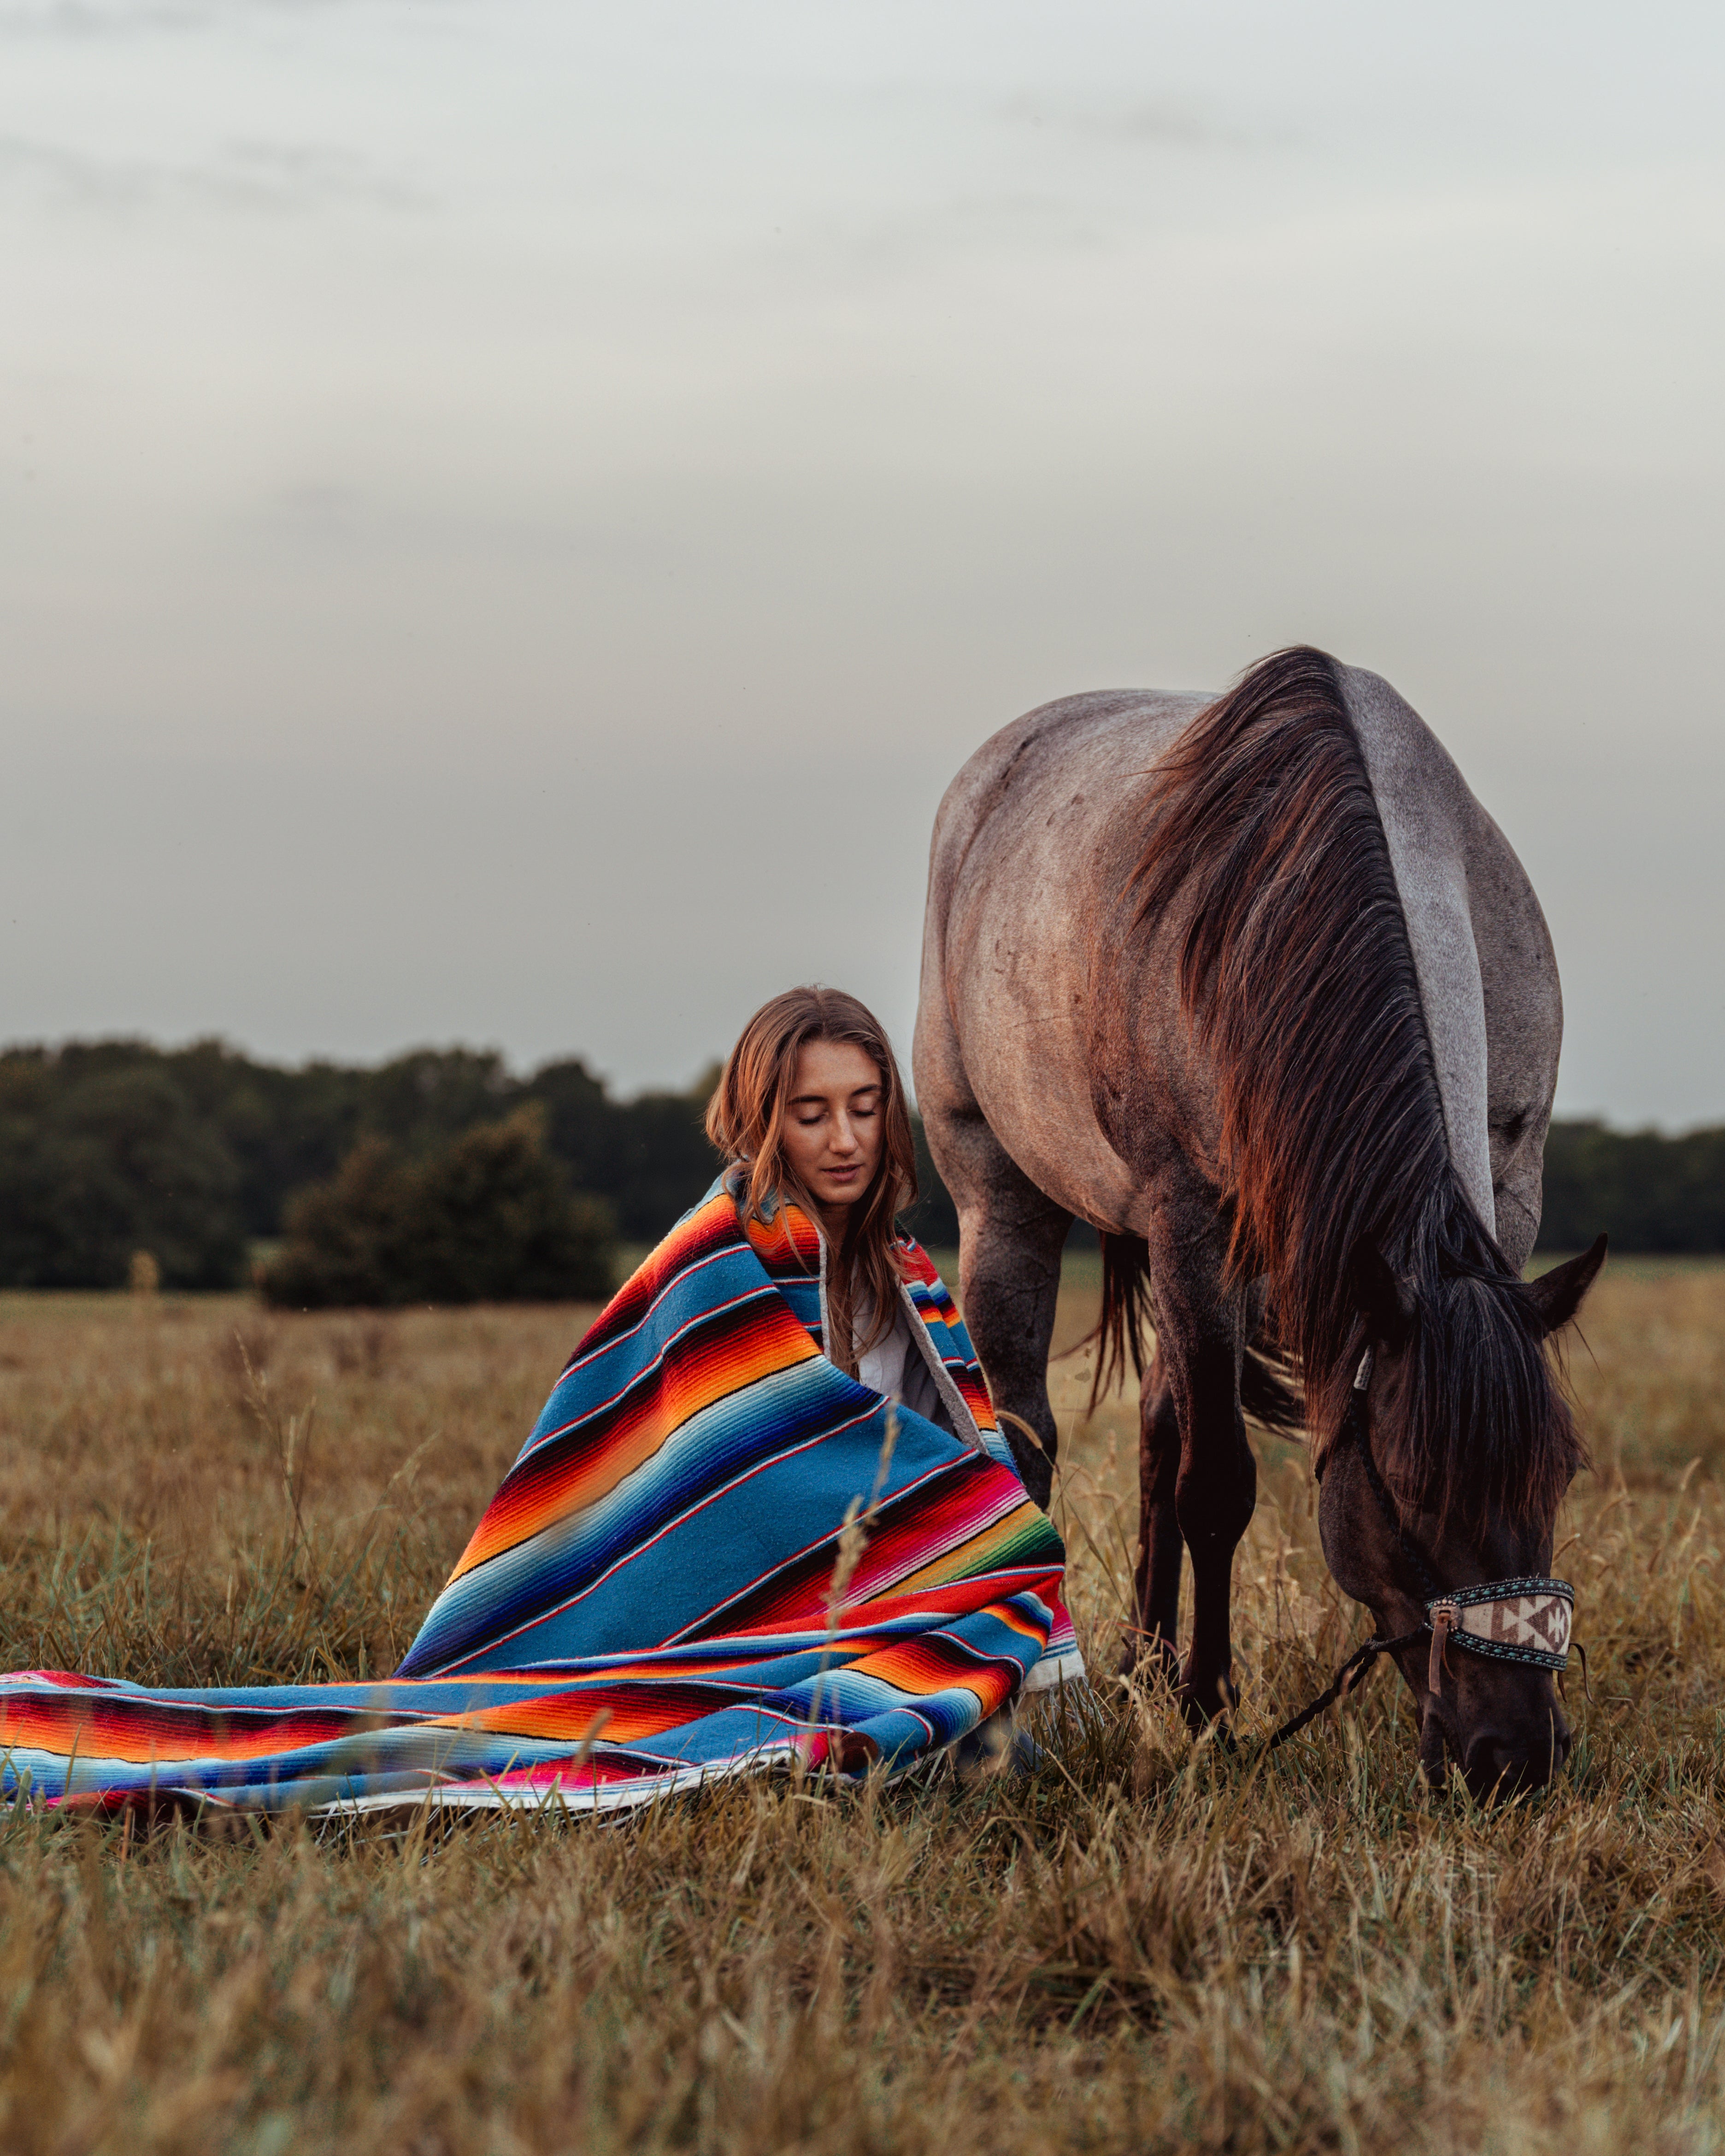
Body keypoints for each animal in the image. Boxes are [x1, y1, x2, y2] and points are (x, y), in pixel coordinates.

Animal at [914, 646, 1604, 1793]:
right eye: (1404, 1495)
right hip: (998, 1193)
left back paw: (1142, 1664)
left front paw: (1175, 1684)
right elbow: (1216, 1483)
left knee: (1154, 1427)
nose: (1510, 1756)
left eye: (1556, 1476)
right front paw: (1207, 1707)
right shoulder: (1190, 1219)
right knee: (1028, 1430)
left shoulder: (1505, 1187)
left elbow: (1178, 1451)